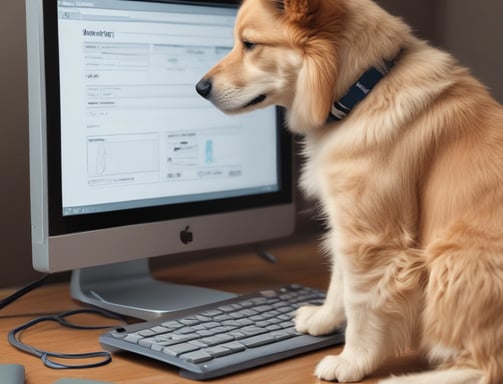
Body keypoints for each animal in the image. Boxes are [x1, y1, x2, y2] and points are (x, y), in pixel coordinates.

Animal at [196, 0, 503, 382]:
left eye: (250, 44)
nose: (199, 87)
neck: (362, 91)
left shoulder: (373, 238)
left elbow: (362, 303)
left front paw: (352, 360)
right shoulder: (346, 219)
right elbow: (339, 281)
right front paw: (323, 319)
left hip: (454, 254)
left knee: (485, 368)